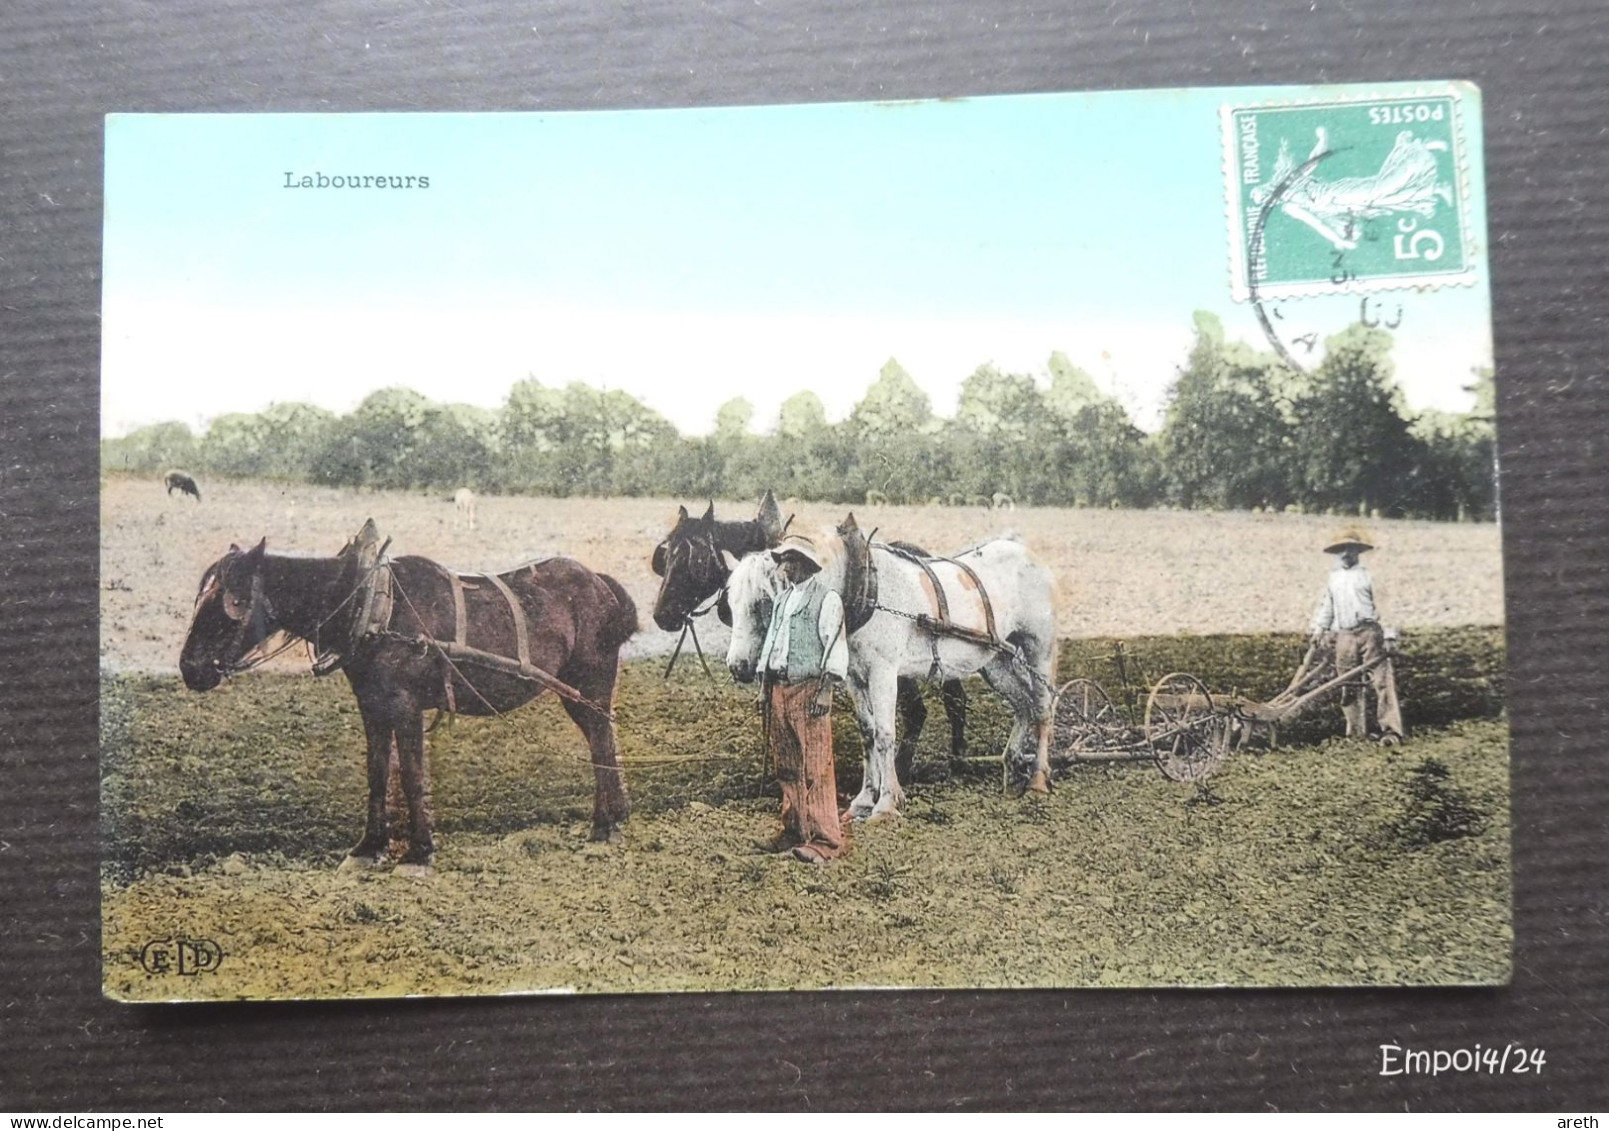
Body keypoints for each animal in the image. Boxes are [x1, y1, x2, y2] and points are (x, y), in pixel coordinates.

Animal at [184, 521, 640, 875]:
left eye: (234, 602)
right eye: (200, 598)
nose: (190, 668)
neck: (369, 605)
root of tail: (599, 582)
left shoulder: (406, 707)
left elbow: (413, 776)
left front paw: (419, 853)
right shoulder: (372, 707)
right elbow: (377, 775)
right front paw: (368, 848)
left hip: (590, 684)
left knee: (602, 742)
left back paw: (608, 826)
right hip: (577, 692)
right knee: (600, 742)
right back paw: (607, 820)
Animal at [727, 518, 1055, 817]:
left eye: (763, 602)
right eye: (729, 603)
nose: (737, 666)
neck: (863, 588)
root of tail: (1024, 551)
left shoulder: (883, 672)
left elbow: (885, 734)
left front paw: (886, 803)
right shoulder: (855, 677)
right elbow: (867, 733)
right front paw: (863, 800)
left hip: (1040, 649)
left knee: (1041, 707)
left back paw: (1038, 779)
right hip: (995, 661)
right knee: (1023, 705)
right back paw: (1012, 772)